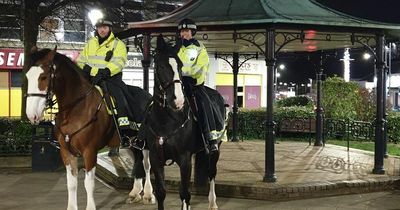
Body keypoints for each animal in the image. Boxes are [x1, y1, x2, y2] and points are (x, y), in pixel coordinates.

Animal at [25, 47, 152, 210]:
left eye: (43, 77)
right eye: (27, 76)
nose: (31, 114)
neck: (77, 108)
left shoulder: (89, 151)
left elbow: (88, 183)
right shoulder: (66, 152)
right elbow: (71, 184)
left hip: (146, 142)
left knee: (147, 165)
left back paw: (148, 194)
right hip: (131, 142)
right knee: (137, 160)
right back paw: (135, 192)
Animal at [128, 35, 228, 209]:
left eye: (180, 66)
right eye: (160, 66)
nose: (178, 101)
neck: (167, 121)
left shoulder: (184, 159)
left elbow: (185, 193)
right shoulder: (156, 158)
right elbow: (161, 193)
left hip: (215, 148)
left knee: (211, 173)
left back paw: (213, 202)